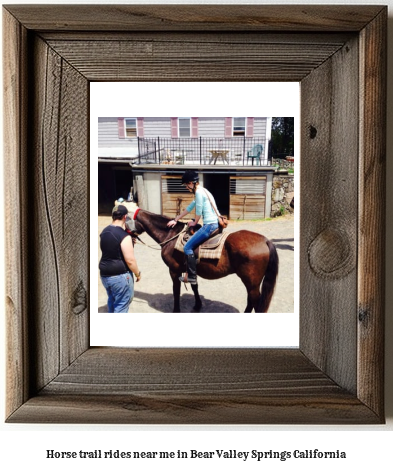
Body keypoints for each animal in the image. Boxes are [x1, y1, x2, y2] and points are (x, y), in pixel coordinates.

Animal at [127, 208, 278, 312]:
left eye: (127, 220)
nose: (129, 238)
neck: (171, 235)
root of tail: (265, 241)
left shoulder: (173, 270)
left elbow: (176, 290)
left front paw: (176, 310)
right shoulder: (190, 270)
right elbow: (194, 287)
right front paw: (197, 305)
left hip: (251, 283)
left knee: (254, 301)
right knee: (251, 300)